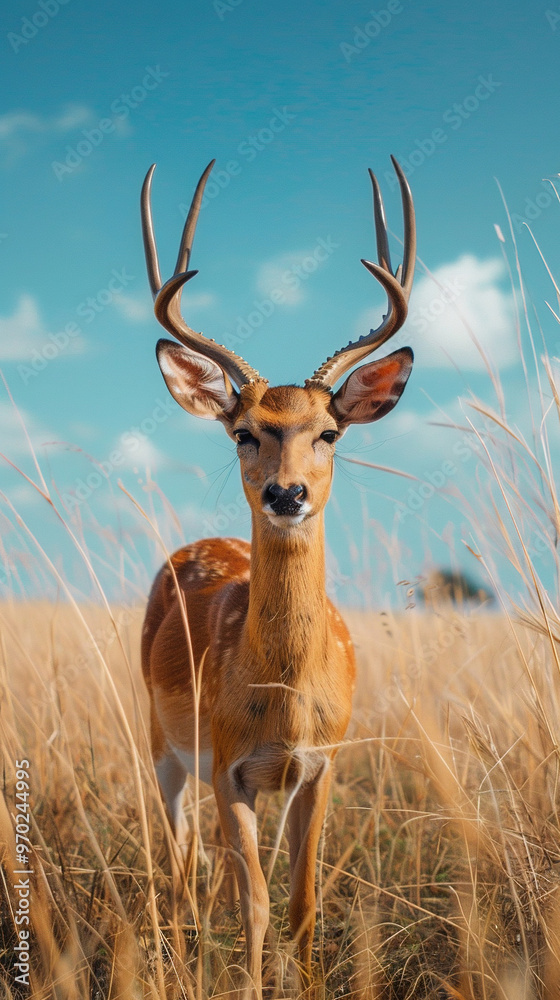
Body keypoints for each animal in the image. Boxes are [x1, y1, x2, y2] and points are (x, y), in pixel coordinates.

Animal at [140, 156, 416, 996]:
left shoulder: (318, 767)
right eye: (243, 432)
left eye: (328, 432)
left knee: (203, 868)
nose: (286, 493)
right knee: (183, 863)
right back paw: (184, 952)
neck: (285, 692)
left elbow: (299, 901)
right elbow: (256, 904)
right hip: (163, 747)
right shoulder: (230, 766)